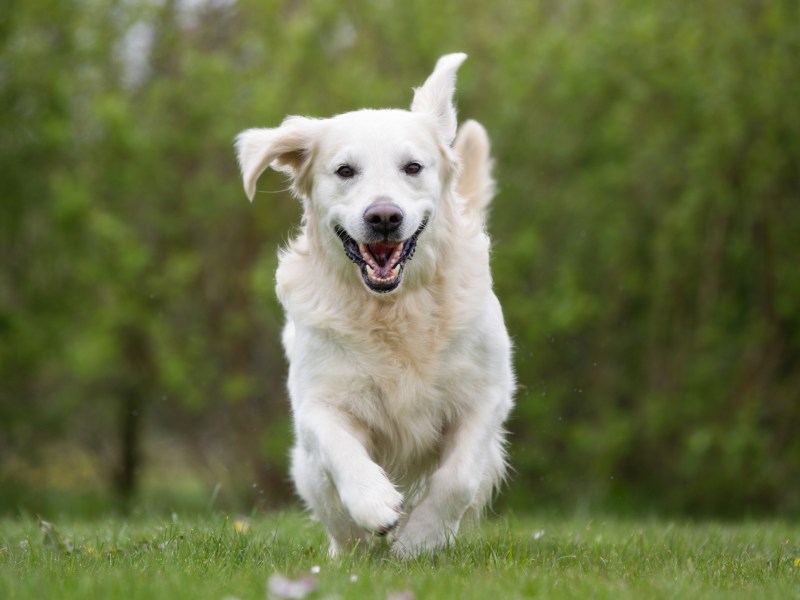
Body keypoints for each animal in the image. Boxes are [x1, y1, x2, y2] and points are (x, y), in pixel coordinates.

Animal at [234, 54, 516, 556]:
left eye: (413, 166)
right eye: (345, 170)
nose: (383, 216)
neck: (393, 308)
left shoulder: (487, 395)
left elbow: (457, 478)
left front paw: (419, 539)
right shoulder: (318, 399)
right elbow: (341, 448)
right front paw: (375, 504)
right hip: (308, 471)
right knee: (337, 520)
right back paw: (353, 549)